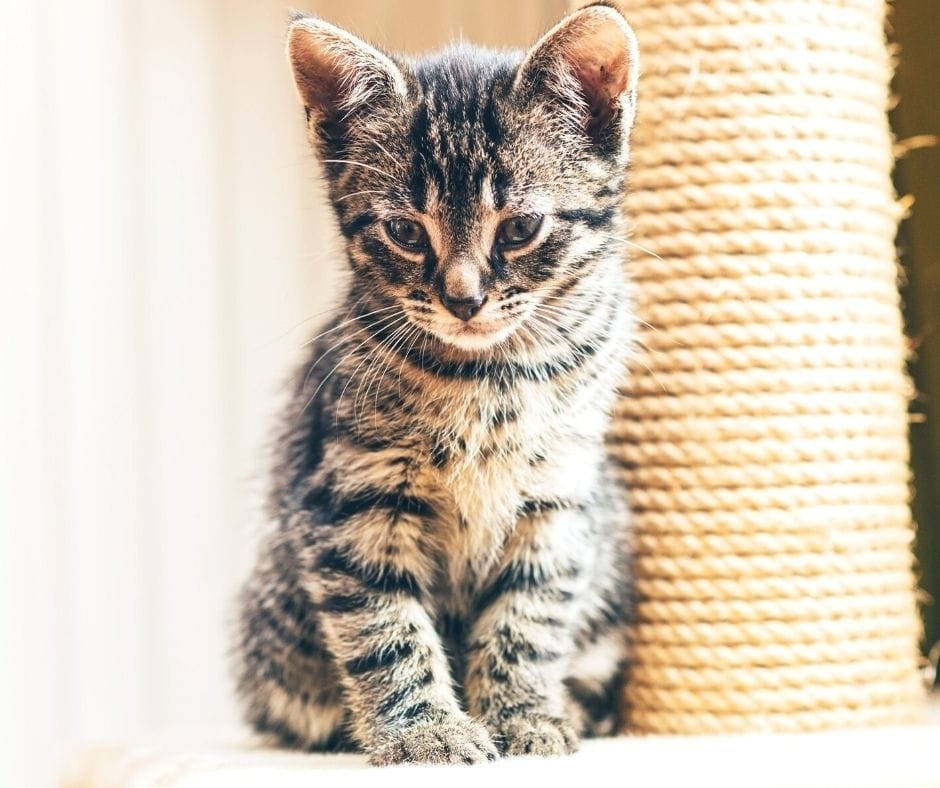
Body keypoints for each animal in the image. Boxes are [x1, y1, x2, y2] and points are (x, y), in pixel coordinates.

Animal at [234, 0, 640, 764]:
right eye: (404, 231)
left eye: (520, 227)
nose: (463, 299)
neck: (490, 376)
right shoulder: (351, 498)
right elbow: (383, 628)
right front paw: (424, 730)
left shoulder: (558, 497)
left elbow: (530, 616)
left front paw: (523, 716)